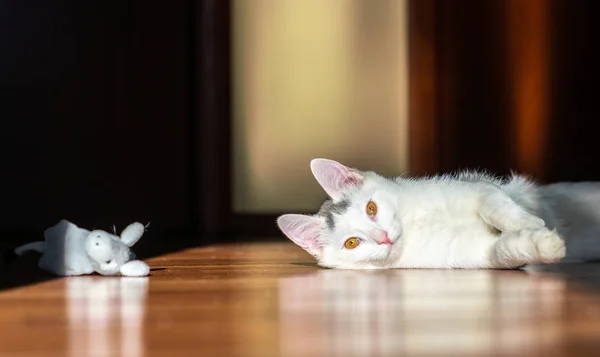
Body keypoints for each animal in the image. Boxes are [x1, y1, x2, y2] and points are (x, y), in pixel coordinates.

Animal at [278, 157, 600, 268]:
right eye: (352, 243)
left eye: (371, 208)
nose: (383, 237)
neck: (414, 226)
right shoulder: (478, 254)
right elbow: (506, 251)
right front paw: (543, 244)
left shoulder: (481, 189)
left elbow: (497, 208)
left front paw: (531, 221)